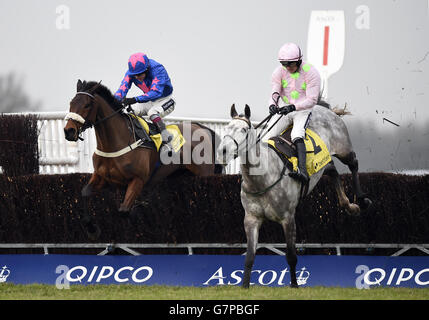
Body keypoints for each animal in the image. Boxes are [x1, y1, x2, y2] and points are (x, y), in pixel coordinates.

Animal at [65, 81, 222, 239]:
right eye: (71, 103)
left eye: (87, 105)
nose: (69, 131)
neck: (116, 142)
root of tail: (201, 127)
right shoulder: (102, 177)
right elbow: (84, 193)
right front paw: (91, 228)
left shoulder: (138, 180)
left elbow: (124, 211)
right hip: (180, 175)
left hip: (205, 173)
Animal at [217, 104, 372, 288]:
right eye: (226, 128)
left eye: (244, 130)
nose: (223, 152)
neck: (261, 179)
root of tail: (325, 109)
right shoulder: (251, 219)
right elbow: (249, 257)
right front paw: (245, 286)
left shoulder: (288, 218)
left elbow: (291, 256)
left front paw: (294, 285)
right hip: (322, 165)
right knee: (332, 171)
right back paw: (348, 205)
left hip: (343, 148)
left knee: (353, 164)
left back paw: (361, 200)